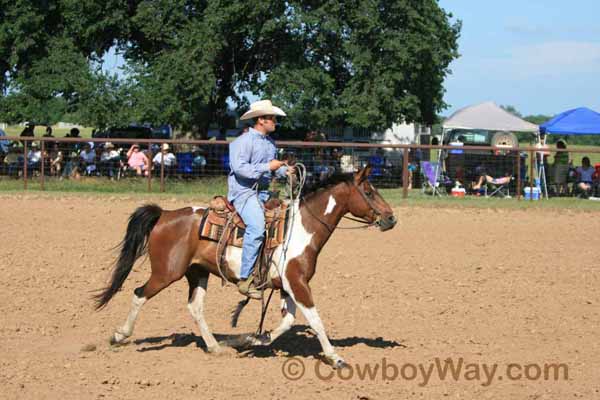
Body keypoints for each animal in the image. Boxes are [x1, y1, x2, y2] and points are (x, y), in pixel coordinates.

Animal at [96, 166, 396, 368]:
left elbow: (287, 322)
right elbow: (315, 320)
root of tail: (165, 215)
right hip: (166, 273)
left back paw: (216, 347)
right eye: (369, 191)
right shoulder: (298, 282)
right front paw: (336, 357)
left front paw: (249, 340)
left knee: (195, 307)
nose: (391, 218)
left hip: (198, 273)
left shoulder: (286, 285)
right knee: (139, 294)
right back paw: (119, 335)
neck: (302, 228)